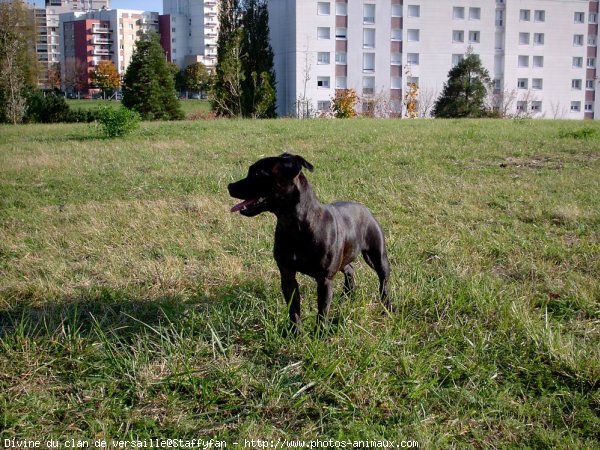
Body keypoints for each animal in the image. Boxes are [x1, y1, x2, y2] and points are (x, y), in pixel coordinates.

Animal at [227, 154, 392, 330]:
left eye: (258, 173)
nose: (230, 186)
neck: (295, 225)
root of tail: (364, 208)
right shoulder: (287, 275)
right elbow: (293, 309)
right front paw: (295, 332)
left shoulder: (324, 280)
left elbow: (323, 310)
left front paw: (320, 332)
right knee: (349, 269)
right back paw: (347, 295)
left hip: (377, 256)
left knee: (383, 280)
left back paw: (388, 306)